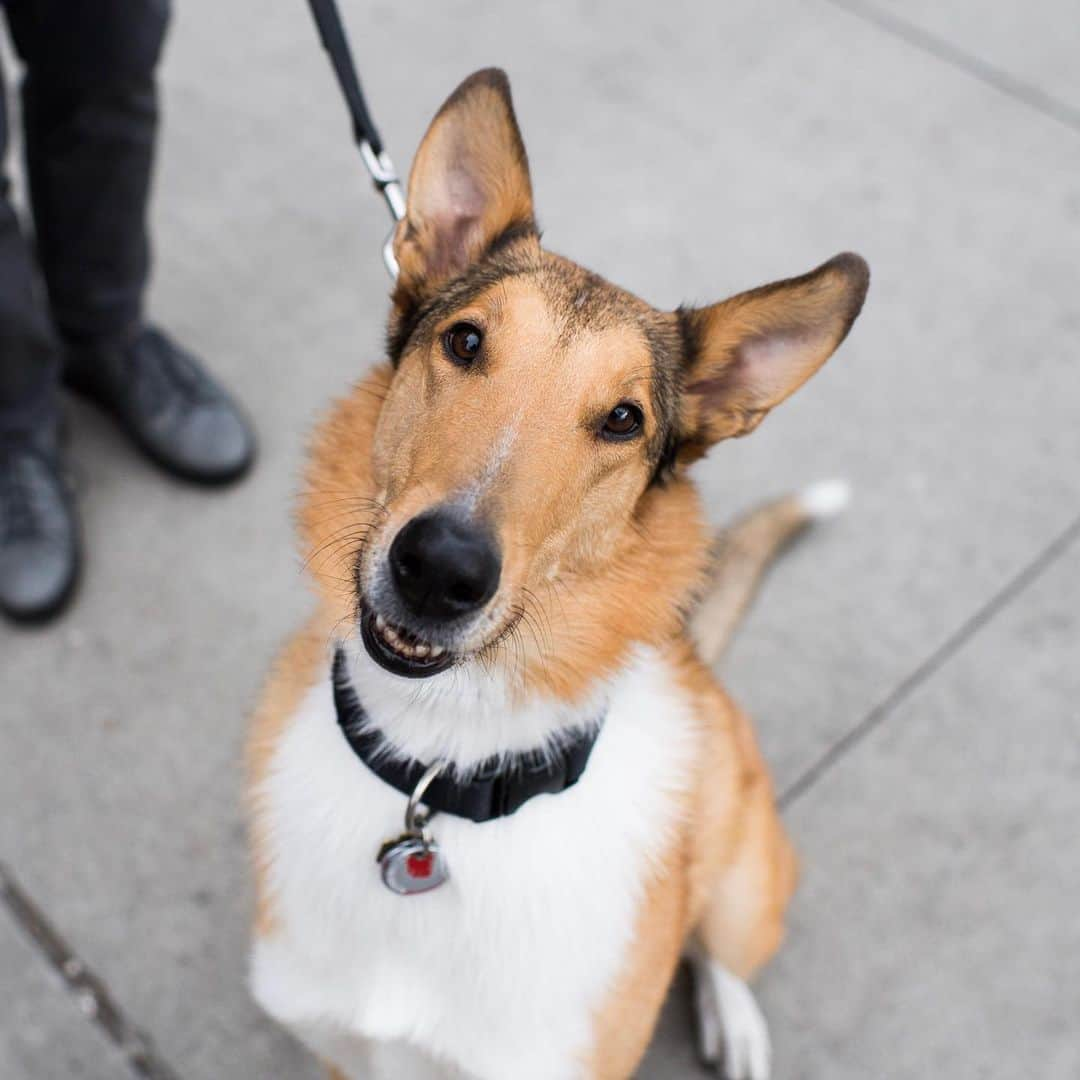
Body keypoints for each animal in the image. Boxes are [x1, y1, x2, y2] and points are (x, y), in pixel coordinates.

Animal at [245, 69, 868, 1080]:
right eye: (464, 342)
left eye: (622, 419)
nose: (440, 568)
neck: (443, 769)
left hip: (744, 871)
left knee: (723, 945)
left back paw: (734, 1018)